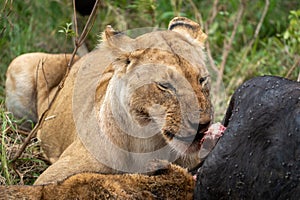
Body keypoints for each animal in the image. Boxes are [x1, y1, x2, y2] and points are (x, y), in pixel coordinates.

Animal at [4, 16, 211, 198]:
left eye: (202, 79)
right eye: (164, 85)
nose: (203, 125)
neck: (147, 142)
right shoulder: (51, 176)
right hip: (20, 62)